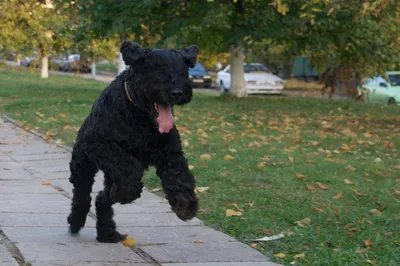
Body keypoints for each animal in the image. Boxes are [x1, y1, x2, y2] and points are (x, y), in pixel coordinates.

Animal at [68, 40, 200, 242]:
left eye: (183, 71)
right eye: (156, 69)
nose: (177, 92)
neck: (140, 117)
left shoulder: (170, 152)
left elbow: (180, 176)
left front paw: (184, 204)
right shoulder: (99, 144)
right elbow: (130, 169)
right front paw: (129, 191)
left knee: (102, 198)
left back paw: (108, 231)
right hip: (82, 166)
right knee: (82, 195)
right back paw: (76, 221)